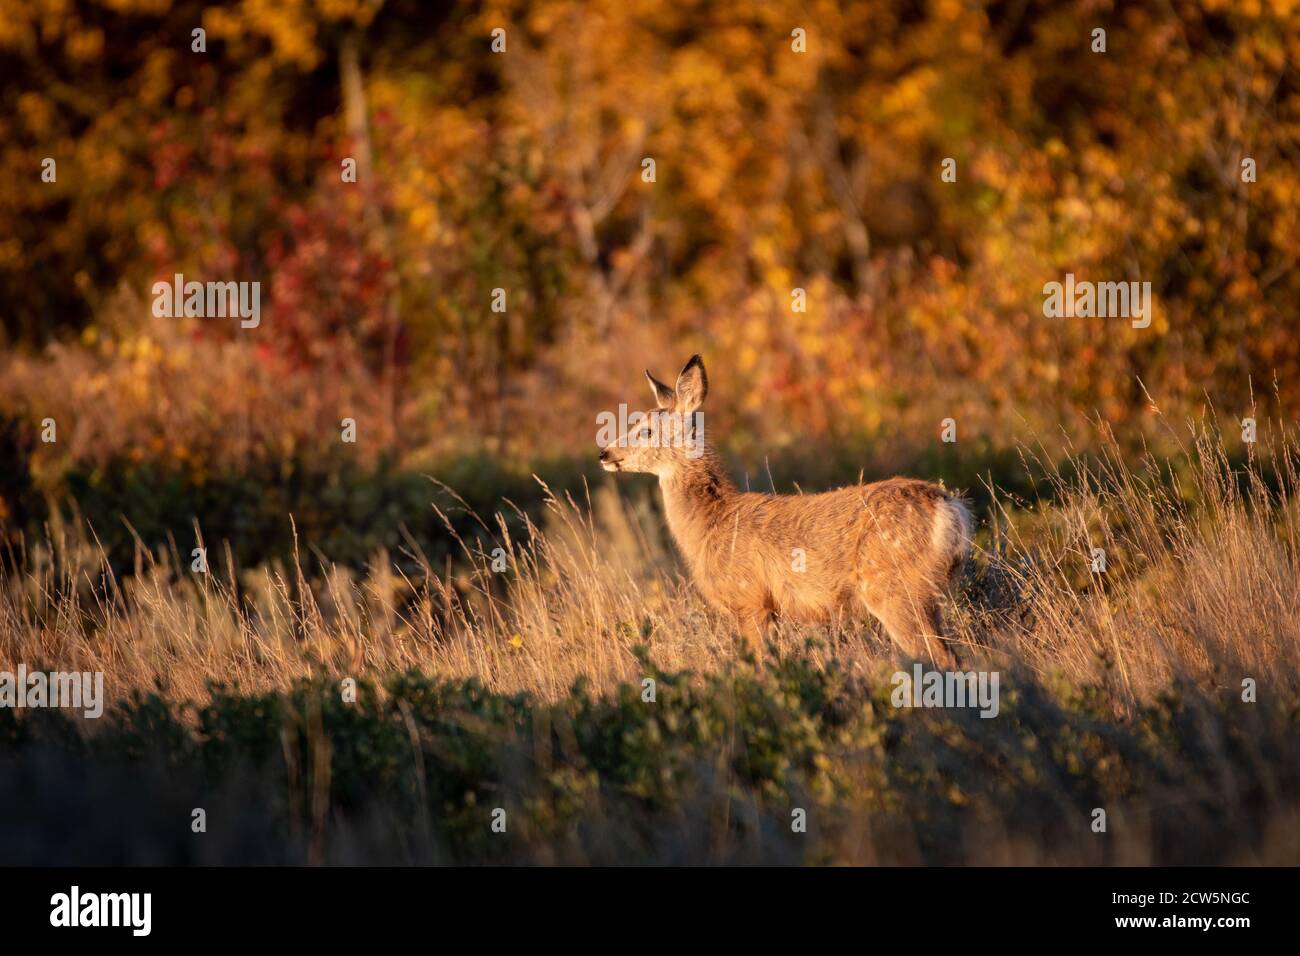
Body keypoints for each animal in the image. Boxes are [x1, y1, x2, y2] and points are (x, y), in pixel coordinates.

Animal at [598, 354, 972, 668]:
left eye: (645, 430)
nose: (604, 453)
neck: (711, 524)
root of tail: (950, 507)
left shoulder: (750, 600)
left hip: (893, 588)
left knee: (940, 657)